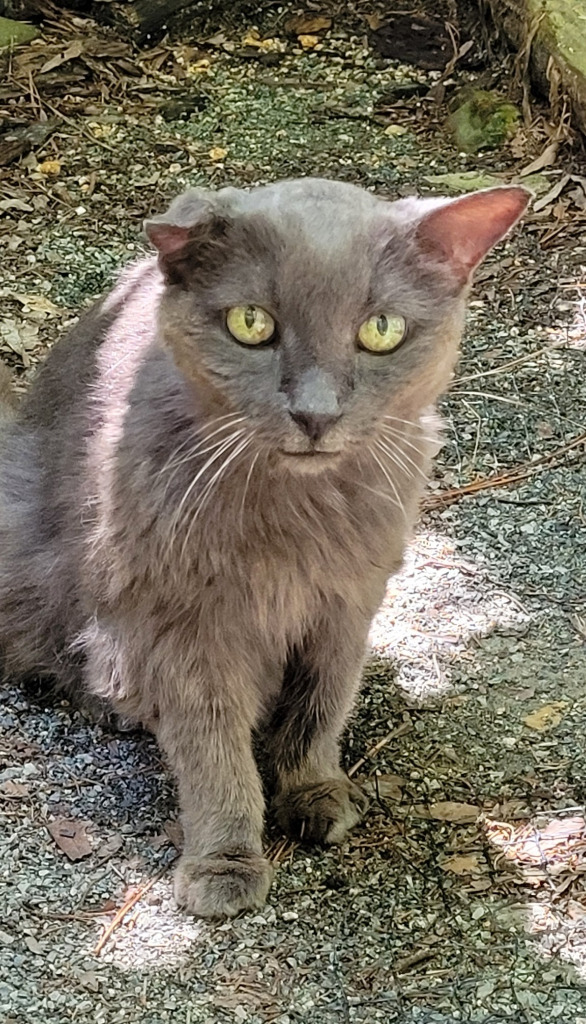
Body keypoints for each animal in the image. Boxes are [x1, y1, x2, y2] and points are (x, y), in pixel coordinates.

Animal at [0, 178, 532, 921]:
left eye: (382, 330)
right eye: (251, 323)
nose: (316, 413)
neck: (296, 519)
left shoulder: (347, 601)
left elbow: (320, 704)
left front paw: (313, 790)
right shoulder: (182, 621)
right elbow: (213, 749)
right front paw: (225, 861)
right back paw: (114, 700)